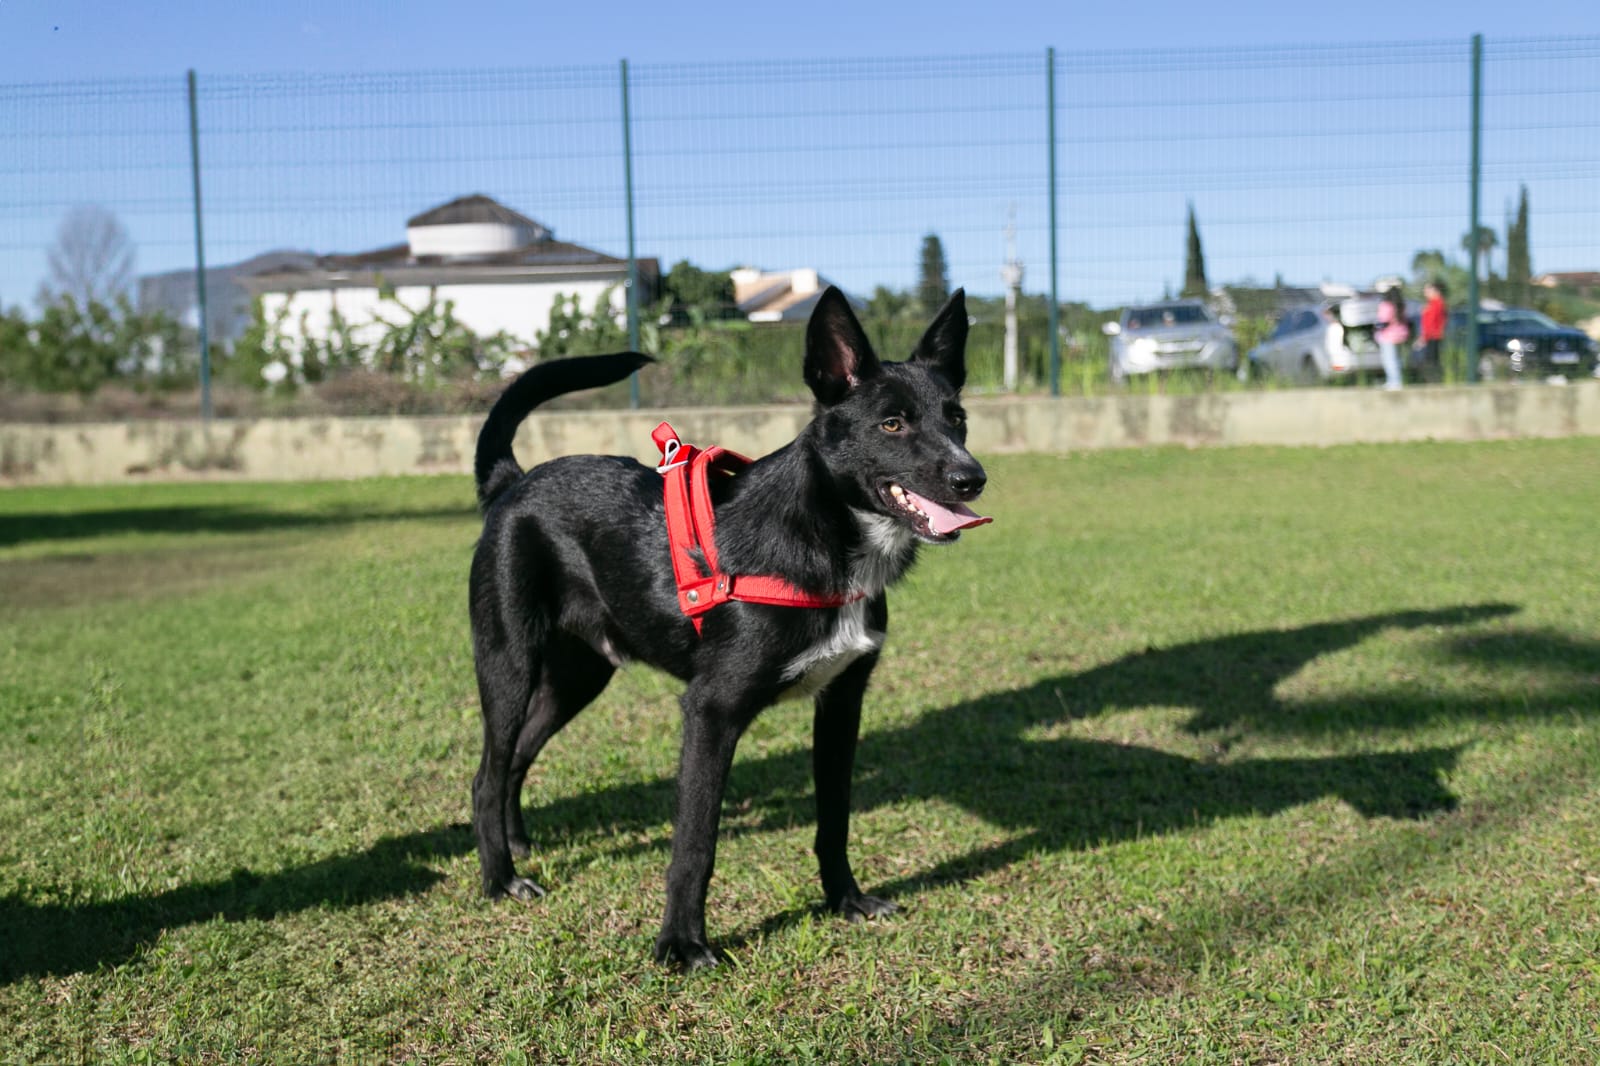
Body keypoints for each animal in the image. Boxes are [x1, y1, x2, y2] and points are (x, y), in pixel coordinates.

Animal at [467, 281, 985, 960]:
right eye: (892, 423)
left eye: (958, 418)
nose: (972, 478)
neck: (827, 536)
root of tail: (515, 481)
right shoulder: (711, 712)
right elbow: (696, 842)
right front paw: (681, 945)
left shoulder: (842, 702)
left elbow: (835, 818)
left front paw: (844, 900)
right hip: (508, 663)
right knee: (488, 773)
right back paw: (500, 879)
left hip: (579, 675)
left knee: (518, 759)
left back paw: (518, 845)